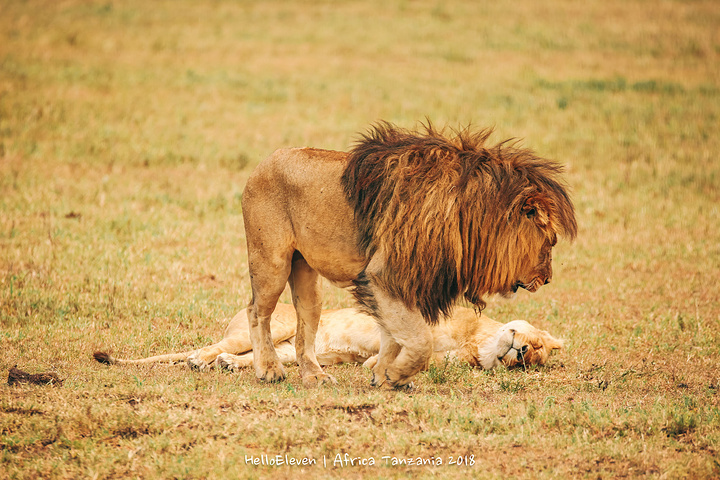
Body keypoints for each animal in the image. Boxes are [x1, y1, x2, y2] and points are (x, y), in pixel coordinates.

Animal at [240, 122, 572, 388]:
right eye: (551, 242)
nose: (547, 280)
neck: (469, 215)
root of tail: (264, 161)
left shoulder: (405, 282)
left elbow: (394, 338)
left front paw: (385, 376)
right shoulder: (383, 275)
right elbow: (421, 341)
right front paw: (396, 375)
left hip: (308, 282)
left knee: (304, 328)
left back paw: (314, 375)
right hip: (272, 263)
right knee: (256, 311)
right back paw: (268, 369)